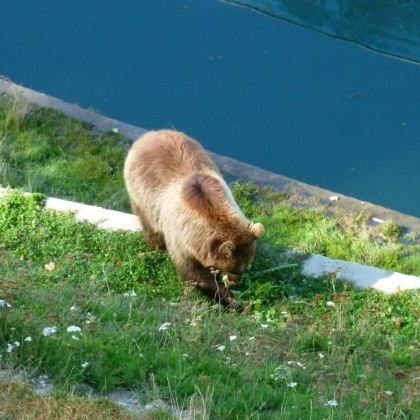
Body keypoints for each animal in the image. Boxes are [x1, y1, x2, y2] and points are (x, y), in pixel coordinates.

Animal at [123, 130, 264, 306]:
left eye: (244, 266)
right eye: (233, 268)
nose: (236, 280)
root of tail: (150, 134)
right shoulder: (180, 237)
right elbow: (193, 272)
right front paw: (231, 299)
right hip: (141, 194)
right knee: (149, 223)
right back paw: (157, 246)